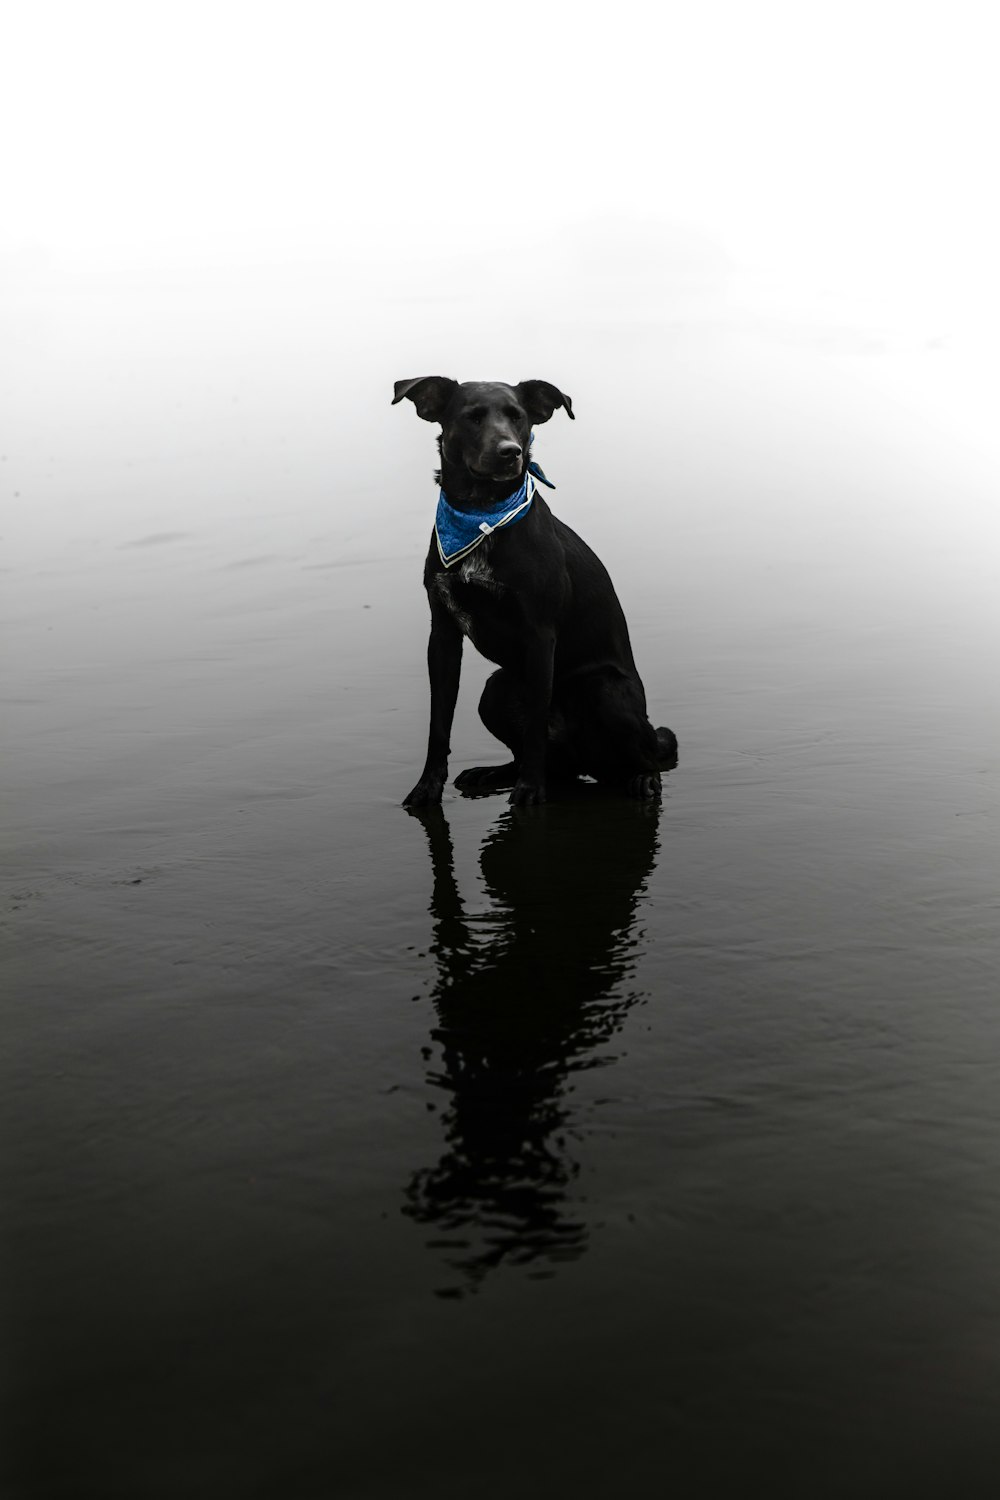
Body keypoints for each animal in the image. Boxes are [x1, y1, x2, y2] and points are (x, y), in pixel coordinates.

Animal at [395, 378, 677, 810]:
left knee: (646, 756)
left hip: (605, 690)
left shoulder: (540, 635)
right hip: (495, 690)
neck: (482, 516)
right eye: (472, 417)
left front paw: (530, 789)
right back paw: (495, 773)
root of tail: (587, 761)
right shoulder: (442, 634)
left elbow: (535, 722)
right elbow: (438, 722)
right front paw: (427, 788)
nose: (509, 452)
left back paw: (642, 778)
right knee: (553, 762)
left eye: (519, 417)